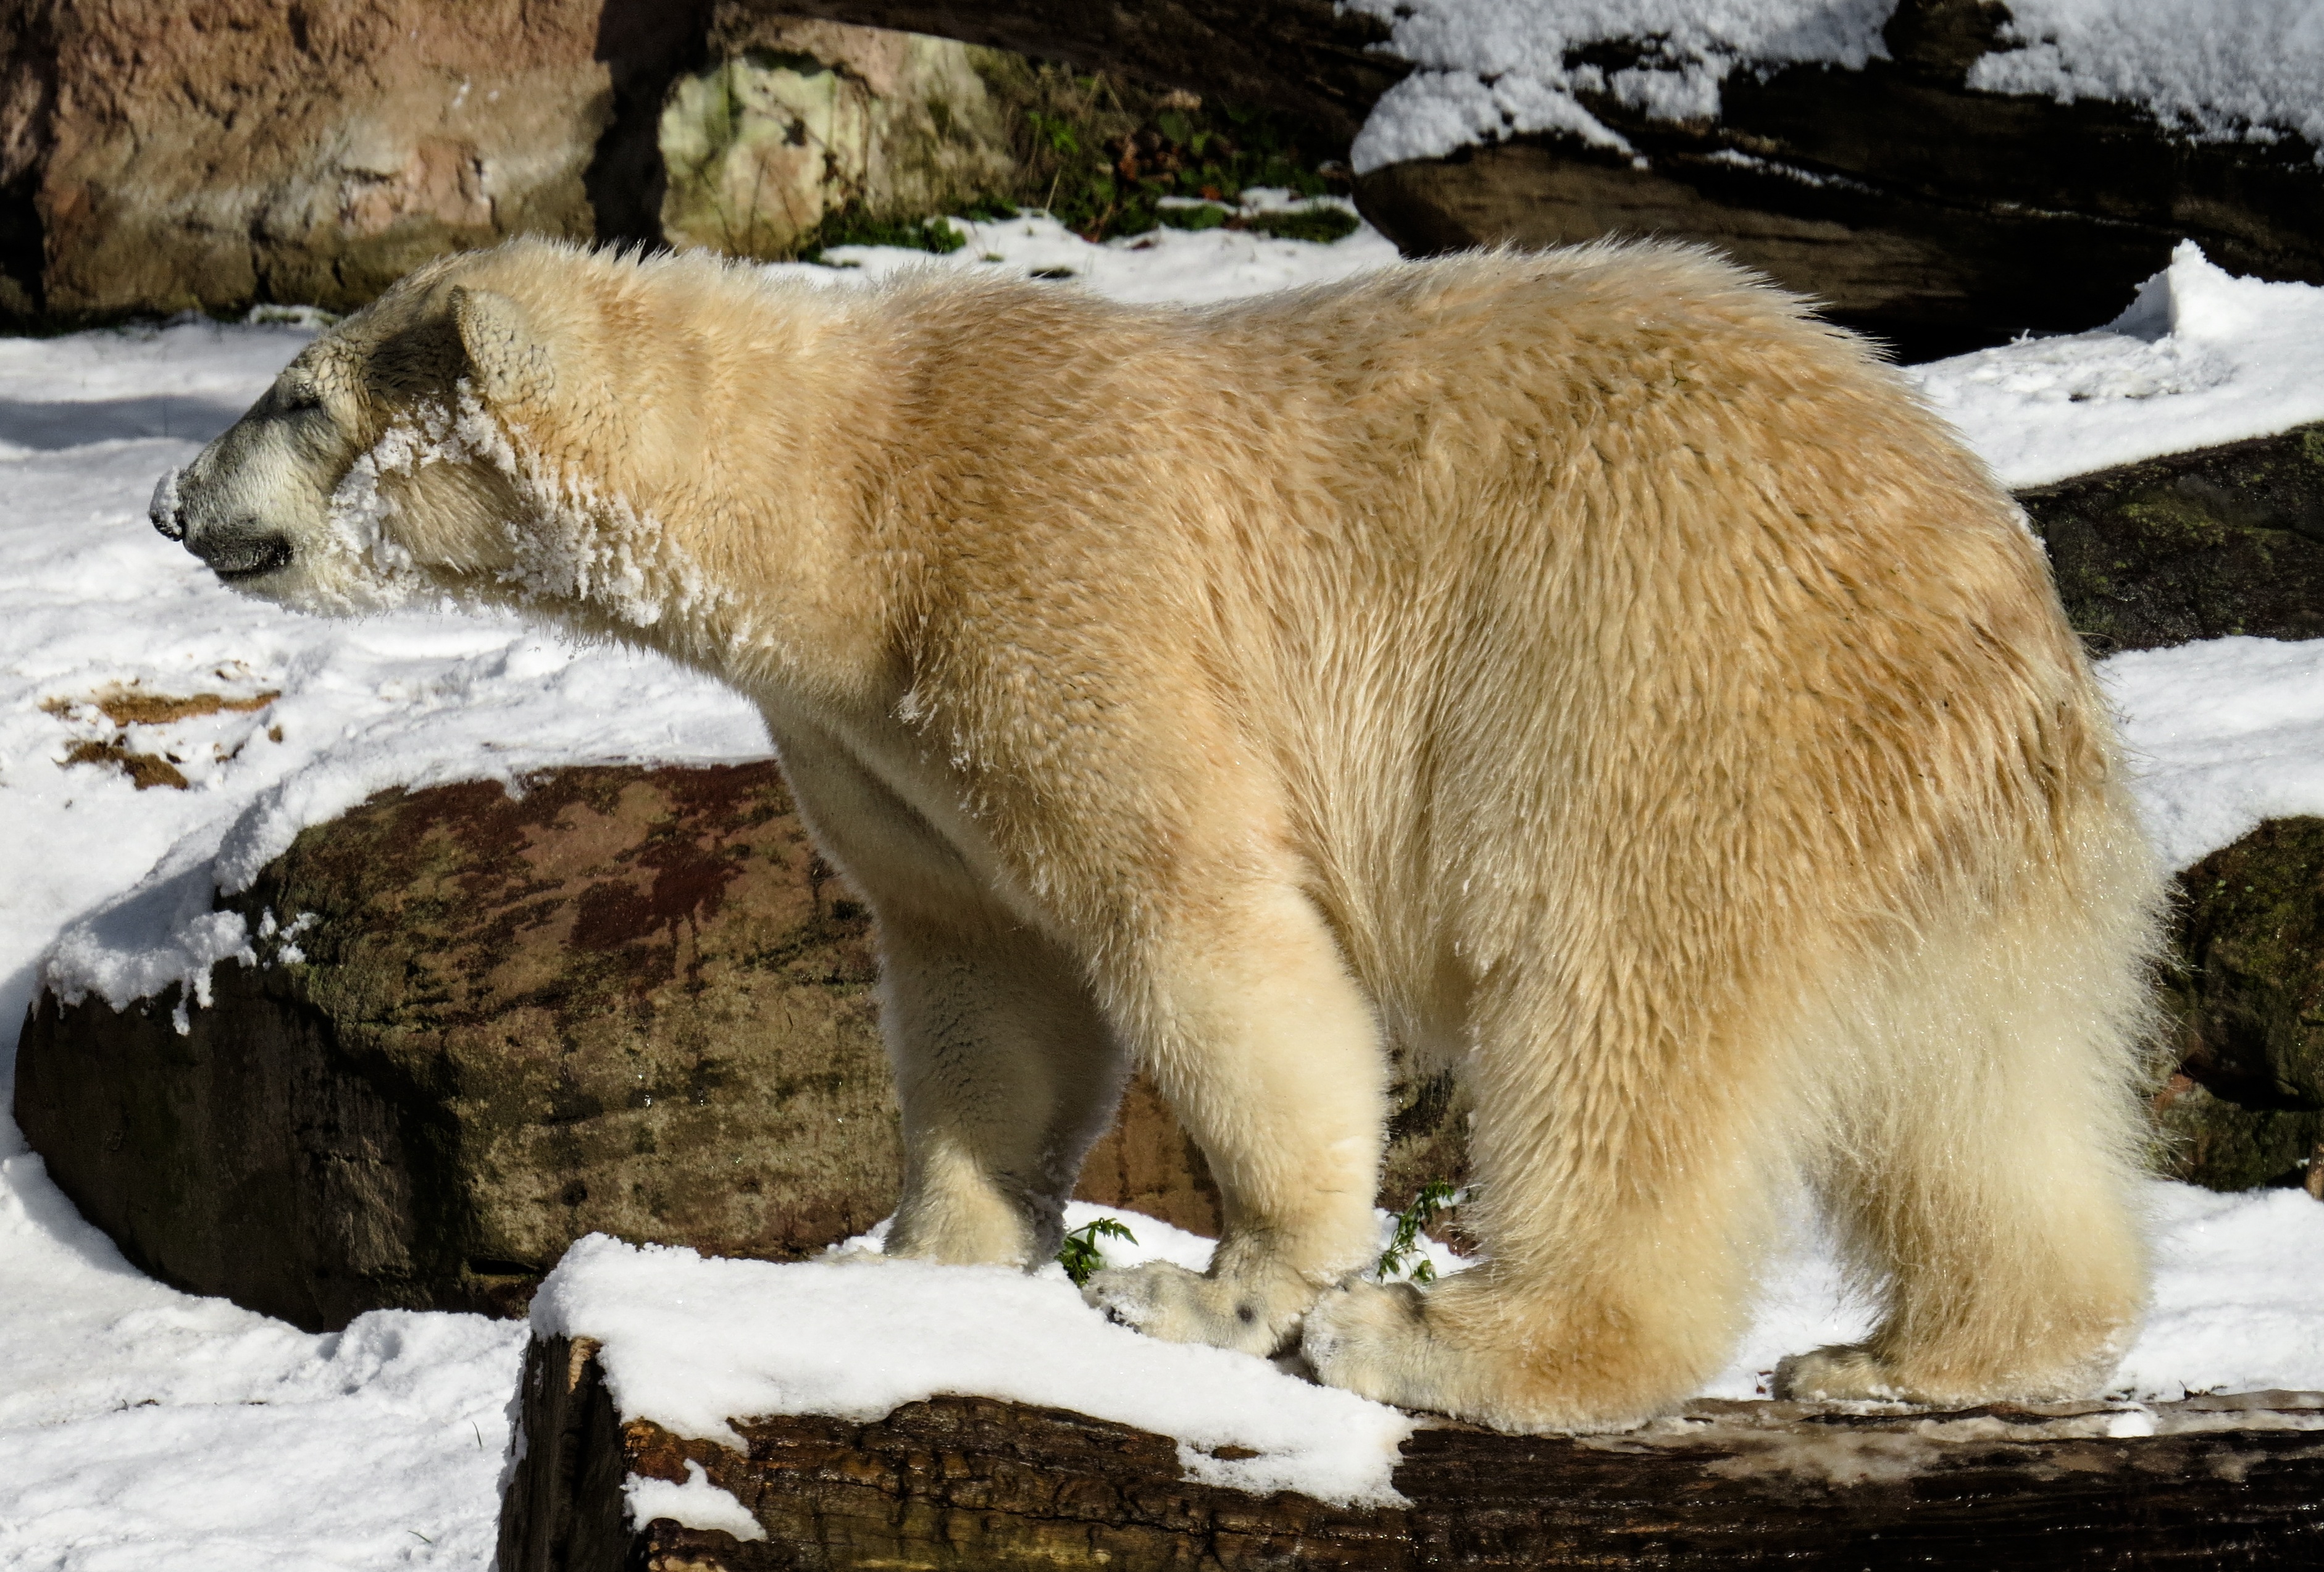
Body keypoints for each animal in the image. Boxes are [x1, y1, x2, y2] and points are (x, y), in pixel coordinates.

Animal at [159, 239, 2156, 1432]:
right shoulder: (876, 725)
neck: (847, 497)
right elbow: (985, 982)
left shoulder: (1050, 583)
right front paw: (915, 1264)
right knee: (1973, 1084)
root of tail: (1990, 583)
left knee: (1612, 1008)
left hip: (1654, 682)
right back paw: (1927, 1350)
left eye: (295, 396)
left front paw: (1224, 1289)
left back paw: (1463, 1337)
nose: (176, 499)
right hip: (1934, 812)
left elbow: (1193, 918)